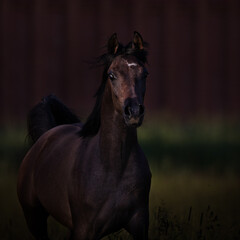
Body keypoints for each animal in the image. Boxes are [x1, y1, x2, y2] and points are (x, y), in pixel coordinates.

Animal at [17, 31, 152, 240]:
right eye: (111, 75)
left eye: (144, 73)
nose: (134, 112)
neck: (114, 168)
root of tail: (44, 138)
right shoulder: (84, 229)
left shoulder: (140, 225)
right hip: (34, 218)